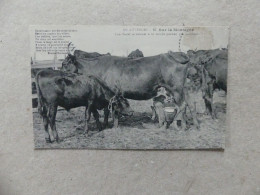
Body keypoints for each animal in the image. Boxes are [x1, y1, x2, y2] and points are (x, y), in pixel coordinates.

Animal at [62, 48, 200, 129]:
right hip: (183, 88)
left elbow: (109, 110)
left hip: (175, 88)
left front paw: (112, 125)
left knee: (182, 105)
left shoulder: (112, 92)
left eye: (64, 63)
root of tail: (173, 54)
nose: (59, 73)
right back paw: (194, 124)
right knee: (190, 104)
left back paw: (179, 126)